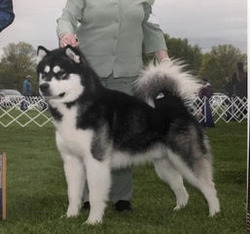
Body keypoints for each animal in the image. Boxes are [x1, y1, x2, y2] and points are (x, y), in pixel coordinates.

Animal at [36, 45, 219, 223]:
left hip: (186, 158)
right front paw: (70, 216)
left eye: (61, 73)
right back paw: (179, 209)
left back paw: (214, 213)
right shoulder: (71, 161)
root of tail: (175, 102)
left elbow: (95, 195)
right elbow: (73, 194)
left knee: (209, 185)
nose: (43, 87)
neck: (76, 106)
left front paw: (93, 221)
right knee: (180, 186)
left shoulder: (96, 159)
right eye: (44, 74)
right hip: (164, 165)